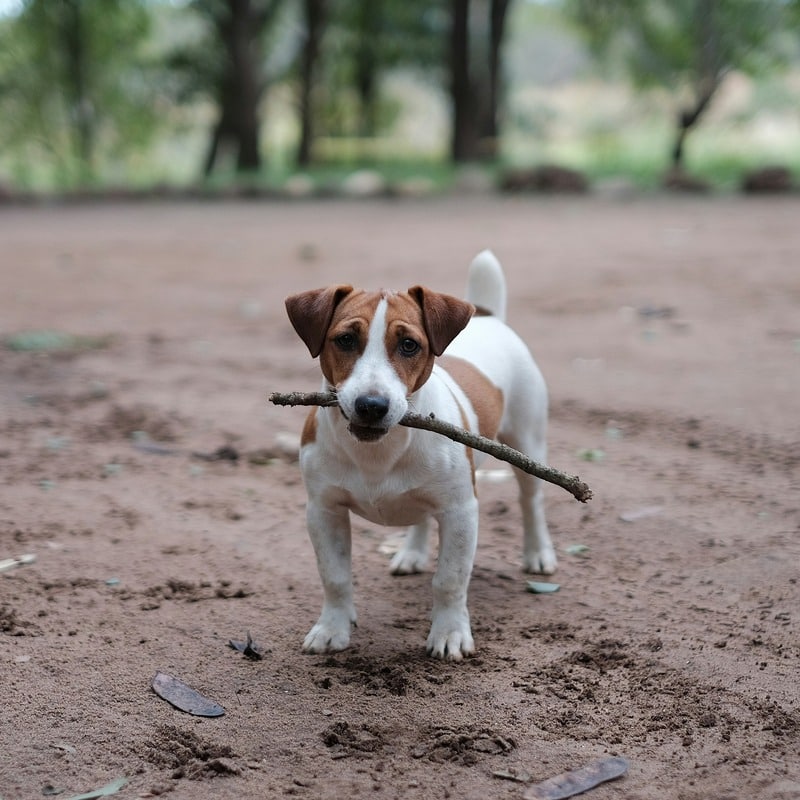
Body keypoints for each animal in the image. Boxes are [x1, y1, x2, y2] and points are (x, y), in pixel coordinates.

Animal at [286, 252, 556, 664]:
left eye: (410, 345)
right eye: (345, 339)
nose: (371, 405)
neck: (378, 452)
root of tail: (487, 316)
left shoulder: (460, 512)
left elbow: (450, 579)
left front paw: (450, 633)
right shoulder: (323, 510)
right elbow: (334, 576)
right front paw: (332, 628)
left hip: (527, 444)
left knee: (531, 500)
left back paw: (538, 552)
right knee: (421, 515)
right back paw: (411, 553)